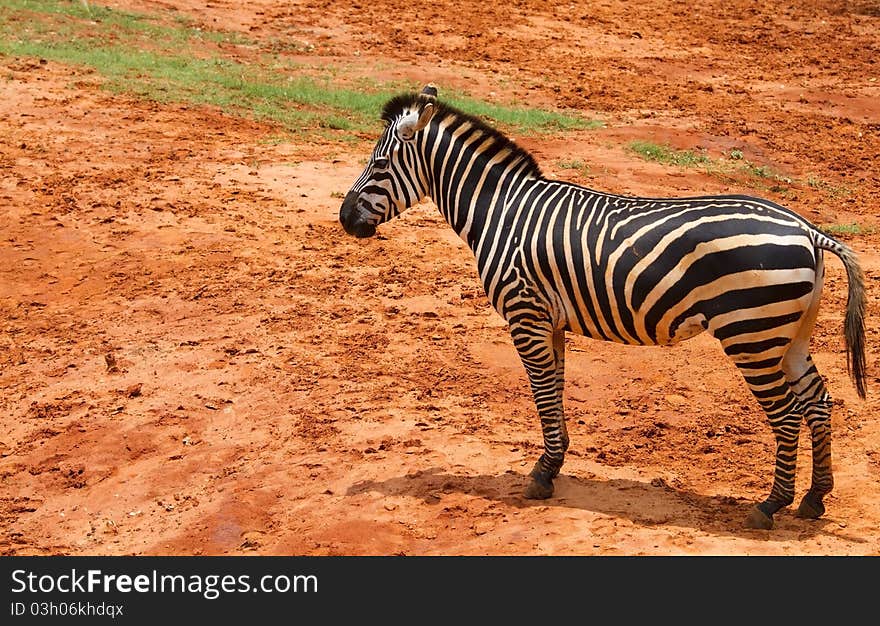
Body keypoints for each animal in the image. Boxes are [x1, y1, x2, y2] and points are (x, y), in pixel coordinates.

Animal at [336, 84, 868, 528]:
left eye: (379, 166)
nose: (343, 219)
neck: (501, 212)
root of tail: (809, 230)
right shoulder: (550, 320)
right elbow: (555, 389)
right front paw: (553, 464)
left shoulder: (525, 314)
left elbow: (542, 392)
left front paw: (541, 475)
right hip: (788, 333)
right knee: (818, 401)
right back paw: (814, 499)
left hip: (750, 333)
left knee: (786, 413)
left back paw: (771, 505)